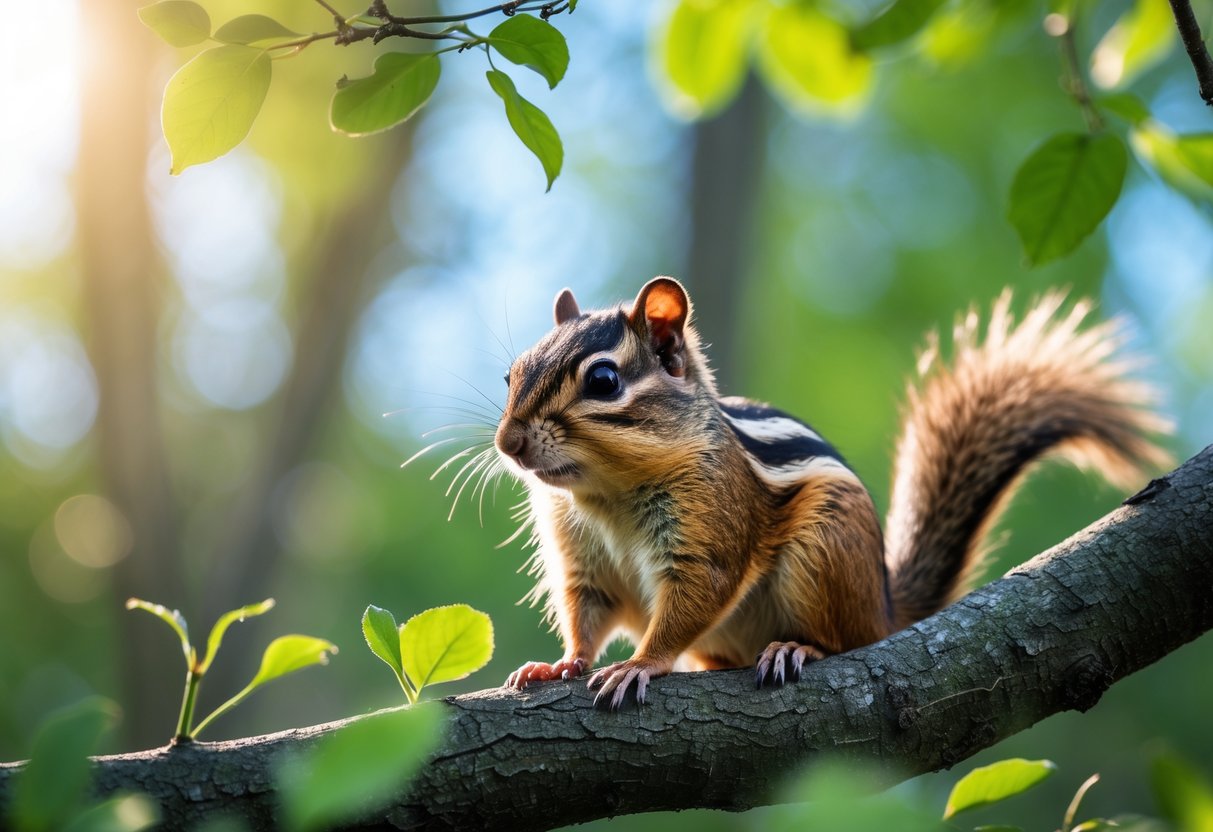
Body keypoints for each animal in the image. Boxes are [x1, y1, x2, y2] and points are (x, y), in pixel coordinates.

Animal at [494, 277, 1169, 709]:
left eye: (605, 381)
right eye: (512, 373)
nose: (509, 442)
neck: (608, 494)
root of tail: (885, 607)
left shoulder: (711, 526)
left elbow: (697, 593)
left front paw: (639, 664)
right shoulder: (584, 560)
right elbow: (586, 611)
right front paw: (562, 662)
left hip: (825, 550)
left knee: (845, 640)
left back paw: (797, 648)